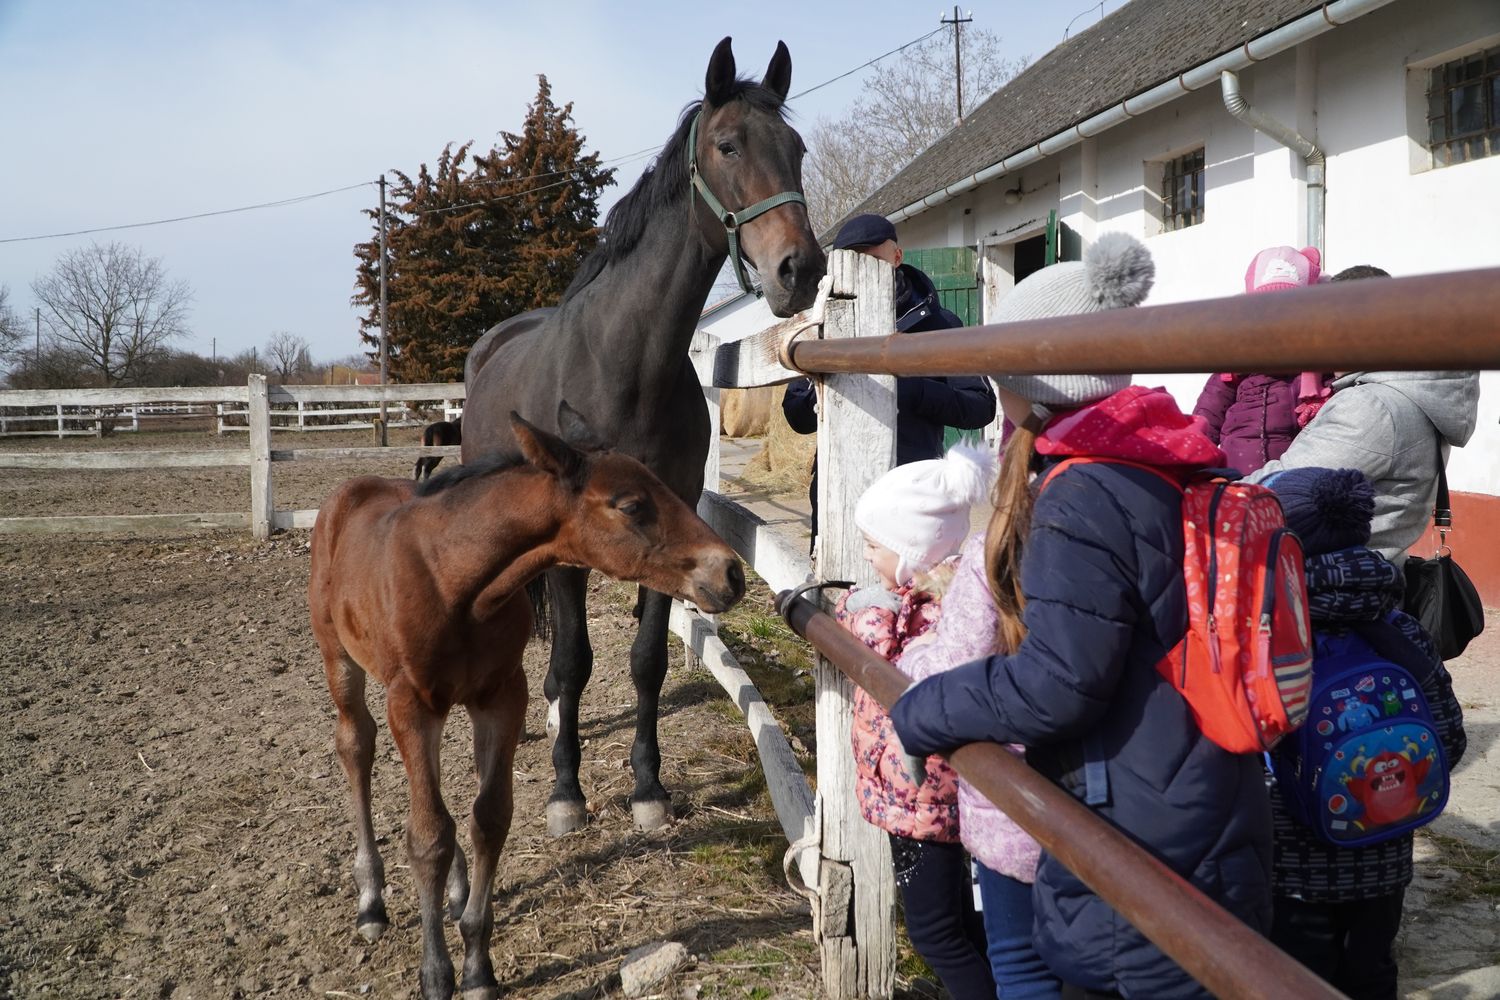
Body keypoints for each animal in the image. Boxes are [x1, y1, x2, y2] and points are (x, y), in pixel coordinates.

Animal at [310, 404, 744, 1000]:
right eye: (631, 504)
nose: (731, 572)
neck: (454, 579)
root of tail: (349, 491)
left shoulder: (501, 696)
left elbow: (488, 816)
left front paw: (477, 966)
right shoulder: (412, 704)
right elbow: (428, 836)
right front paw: (436, 974)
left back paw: (454, 892)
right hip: (341, 661)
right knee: (356, 747)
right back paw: (372, 902)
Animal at [462, 37, 828, 839]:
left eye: (796, 150)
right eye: (728, 145)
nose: (802, 269)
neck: (622, 364)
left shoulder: (678, 524)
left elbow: (646, 658)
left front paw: (648, 787)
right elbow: (574, 659)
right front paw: (566, 793)